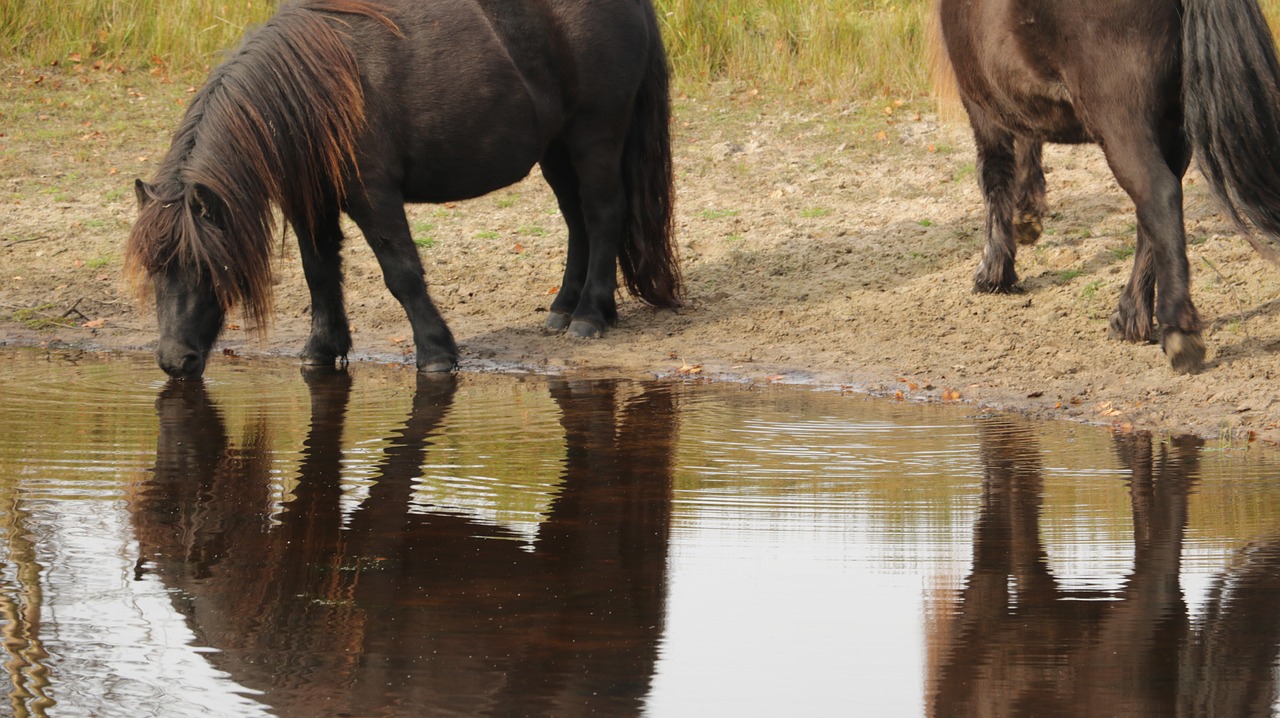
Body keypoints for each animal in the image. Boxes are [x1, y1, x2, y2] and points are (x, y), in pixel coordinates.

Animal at [131, 0, 686, 378]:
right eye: (154, 269)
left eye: (205, 266)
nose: (174, 361)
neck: (318, 89)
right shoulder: (311, 203)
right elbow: (319, 274)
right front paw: (321, 350)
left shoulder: (373, 196)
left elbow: (401, 274)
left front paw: (436, 353)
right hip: (556, 147)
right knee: (576, 221)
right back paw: (563, 309)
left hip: (595, 135)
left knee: (603, 215)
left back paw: (590, 314)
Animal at [936, 0, 1280, 376]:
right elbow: (1027, 143)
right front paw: (1026, 219)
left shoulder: (981, 103)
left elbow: (994, 174)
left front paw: (993, 271)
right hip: (1171, 126)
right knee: (1154, 211)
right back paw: (1131, 318)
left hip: (1121, 121)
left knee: (1159, 195)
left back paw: (1178, 332)